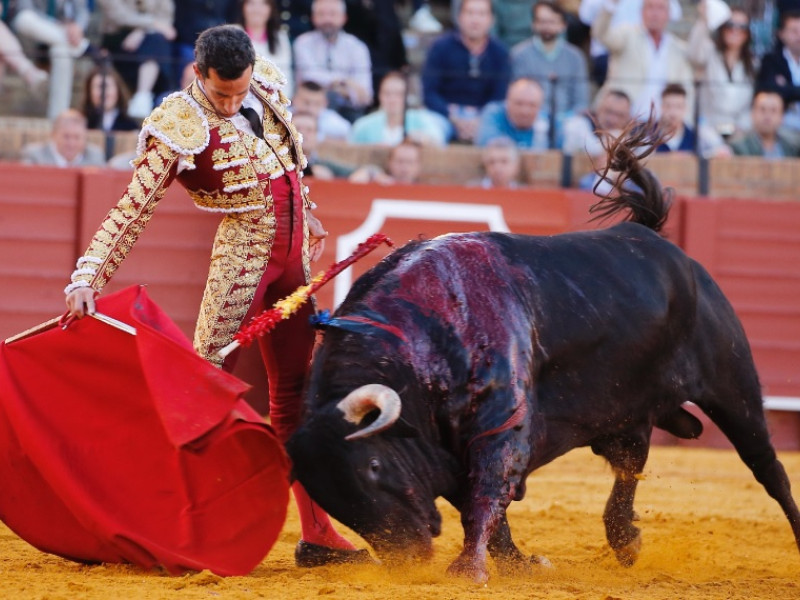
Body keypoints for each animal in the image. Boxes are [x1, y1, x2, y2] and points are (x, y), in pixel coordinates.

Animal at [288, 123, 800, 580]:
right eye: (330, 496)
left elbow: (486, 492)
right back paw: (624, 540)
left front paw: (468, 570)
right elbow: (481, 505)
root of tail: (656, 239)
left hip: (732, 385)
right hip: (627, 409)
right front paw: (517, 564)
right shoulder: (451, 444)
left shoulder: (501, 423)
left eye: (374, 465)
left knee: (767, 466)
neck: (421, 336)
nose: (406, 558)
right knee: (630, 463)